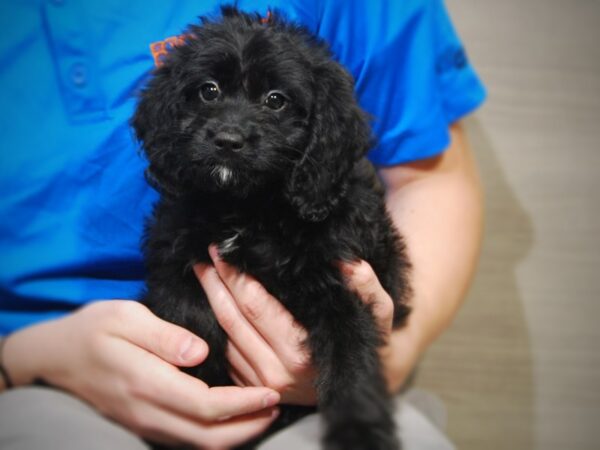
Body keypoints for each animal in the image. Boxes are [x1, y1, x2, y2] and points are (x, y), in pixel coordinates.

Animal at [133, 7, 410, 450]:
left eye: (276, 100)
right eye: (209, 91)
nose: (228, 140)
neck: (246, 208)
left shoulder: (339, 286)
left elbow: (353, 365)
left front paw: (361, 434)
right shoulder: (175, 260)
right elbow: (192, 321)